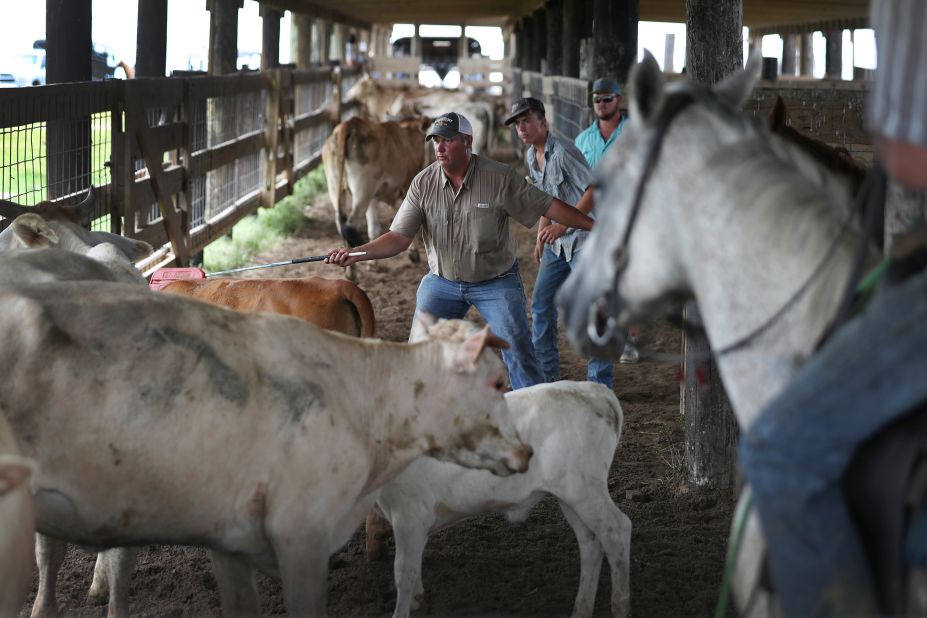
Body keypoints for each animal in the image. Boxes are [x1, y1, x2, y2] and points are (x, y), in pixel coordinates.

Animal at [376, 376, 632, 616]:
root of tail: (594, 390)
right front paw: (418, 599)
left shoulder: (409, 514)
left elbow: (403, 573)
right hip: (571, 497)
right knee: (590, 542)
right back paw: (582, 609)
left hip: (586, 490)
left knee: (616, 531)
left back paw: (620, 606)